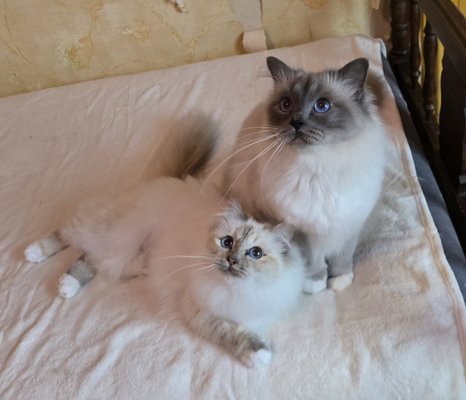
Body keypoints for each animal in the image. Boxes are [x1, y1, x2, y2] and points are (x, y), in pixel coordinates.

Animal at [24, 115, 306, 368]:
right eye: (227, 242)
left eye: (255, 253)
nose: (232, 261)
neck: (241, 291)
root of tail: (160, 180)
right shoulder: (201, 310)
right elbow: (233, 333)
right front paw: (259, 354)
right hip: (113, 233)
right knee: (68, 235)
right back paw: (36, 254)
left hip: (125, 256)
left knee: (91, 260)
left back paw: (67, 285)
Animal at [222, 56, 387, 293]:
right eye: (286, 105)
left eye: (322, 105)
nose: (296, 122)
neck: (319, 166)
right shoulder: (299, 230)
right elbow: (313, 261)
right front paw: (316, 284)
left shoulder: (349, 223)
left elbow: (342, 257)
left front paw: (339, 281)